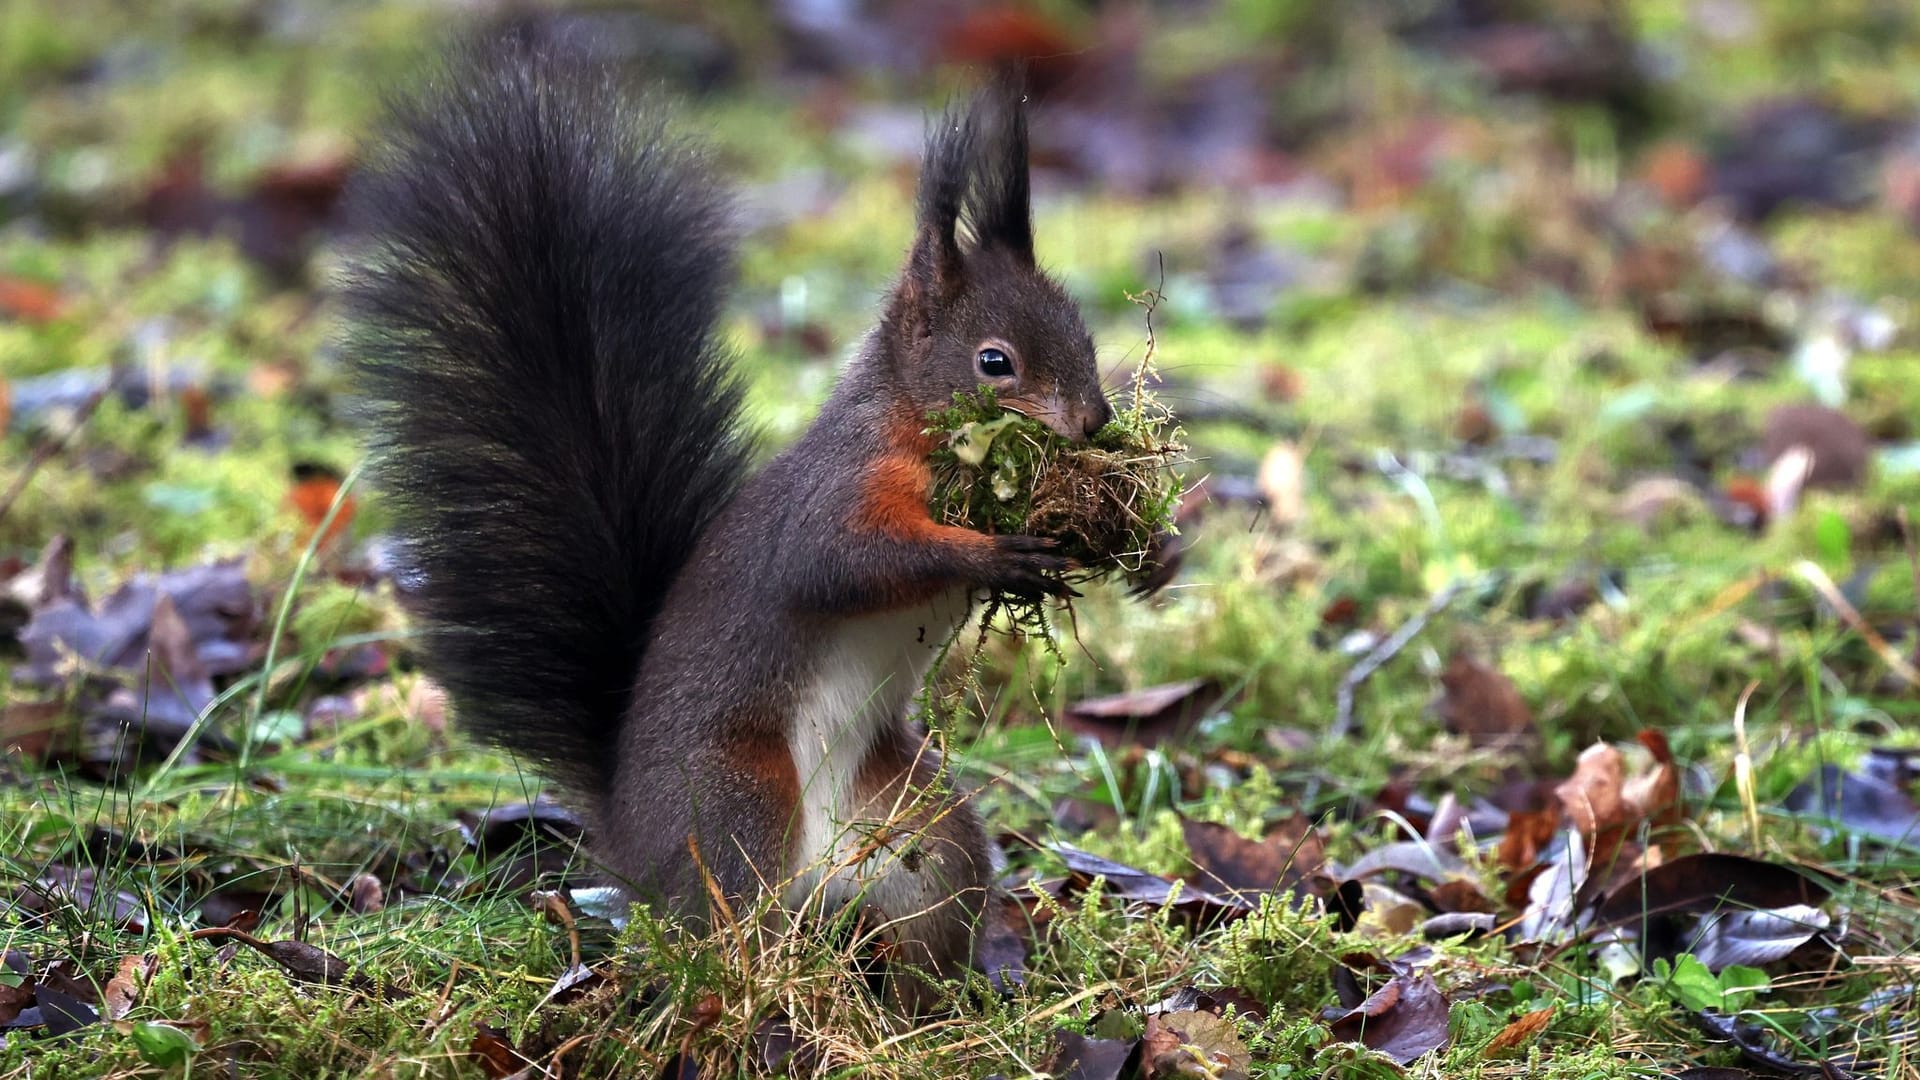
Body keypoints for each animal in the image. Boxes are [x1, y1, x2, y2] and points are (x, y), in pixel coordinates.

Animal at [337, 35, 1105, 1006]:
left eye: (1084, 334)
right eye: (994, 362)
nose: (1096, 422)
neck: (906, 421)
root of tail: (629, 840)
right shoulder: (839, 490)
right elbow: (842, 561)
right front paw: (993, 554)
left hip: (919, 828)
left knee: (925, 911)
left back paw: (929, 1004)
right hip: (738, 796)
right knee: (731, 921)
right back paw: (759, 989)